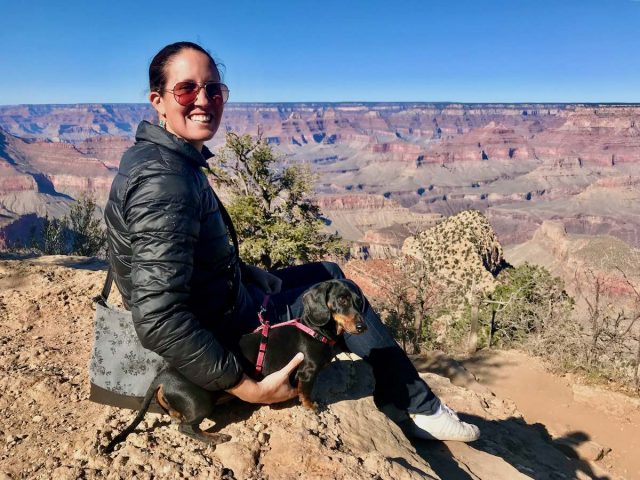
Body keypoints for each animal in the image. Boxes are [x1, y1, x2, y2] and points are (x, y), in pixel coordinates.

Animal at [105, 280, 364, 452]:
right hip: (201, 402)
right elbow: (306, 393)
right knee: (187, 428)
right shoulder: (307, 372)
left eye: (359, 302)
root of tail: (163, 376)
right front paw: (312, 407)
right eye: (342, 300)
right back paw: (215, 438)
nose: (363, 327)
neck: (316, 330)